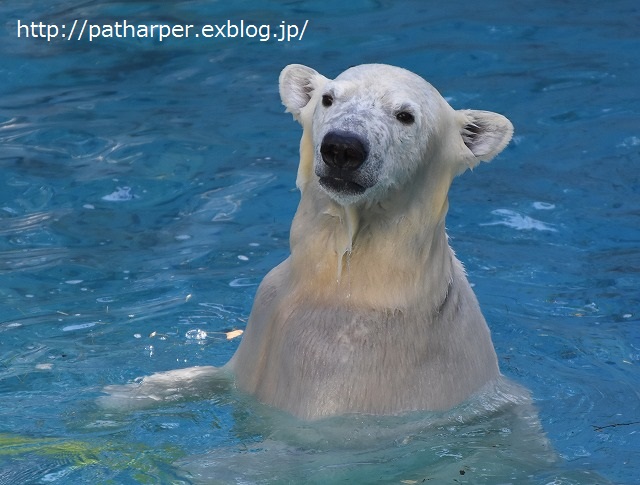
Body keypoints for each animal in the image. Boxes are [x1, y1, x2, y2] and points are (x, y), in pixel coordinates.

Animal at [104, 64, 516, 420]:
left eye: (405, 116)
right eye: (328, 98)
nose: (343, 147)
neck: (354, 282)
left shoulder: (345, 362)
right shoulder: (266, 315)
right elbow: (224, 374)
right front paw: (127, 394)